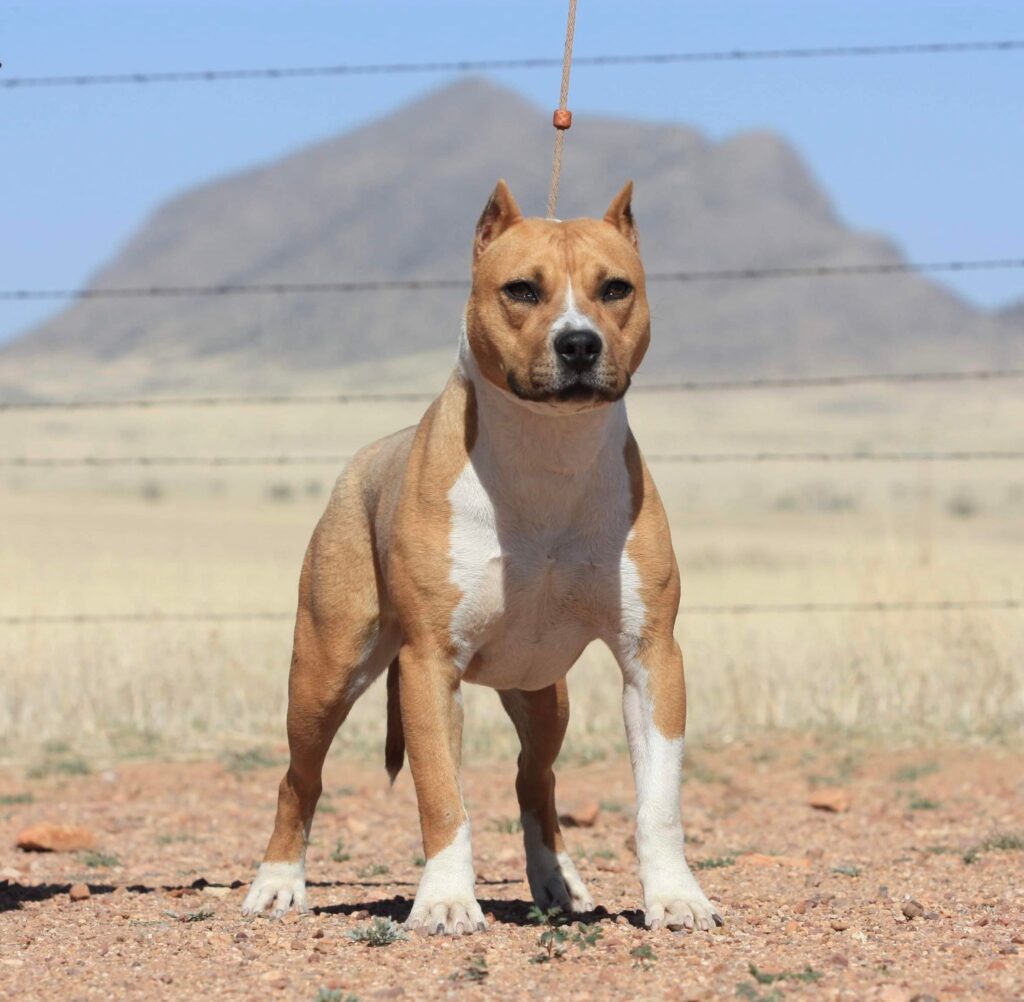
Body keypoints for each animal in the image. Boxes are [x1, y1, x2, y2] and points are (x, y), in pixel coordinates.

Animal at [239, 182, 720, 941]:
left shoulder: (651, 655)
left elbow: (659, 802)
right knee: (300, 777)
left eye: (616, 288)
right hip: (324, 672)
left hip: (543, 692)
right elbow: (442, 795)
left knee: (535, 780)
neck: (546, 454)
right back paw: (278, 884)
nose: (578, 343)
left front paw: (676, 896)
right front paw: (443, 901)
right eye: (521, 289)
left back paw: (557, 881)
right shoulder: (429, 664)